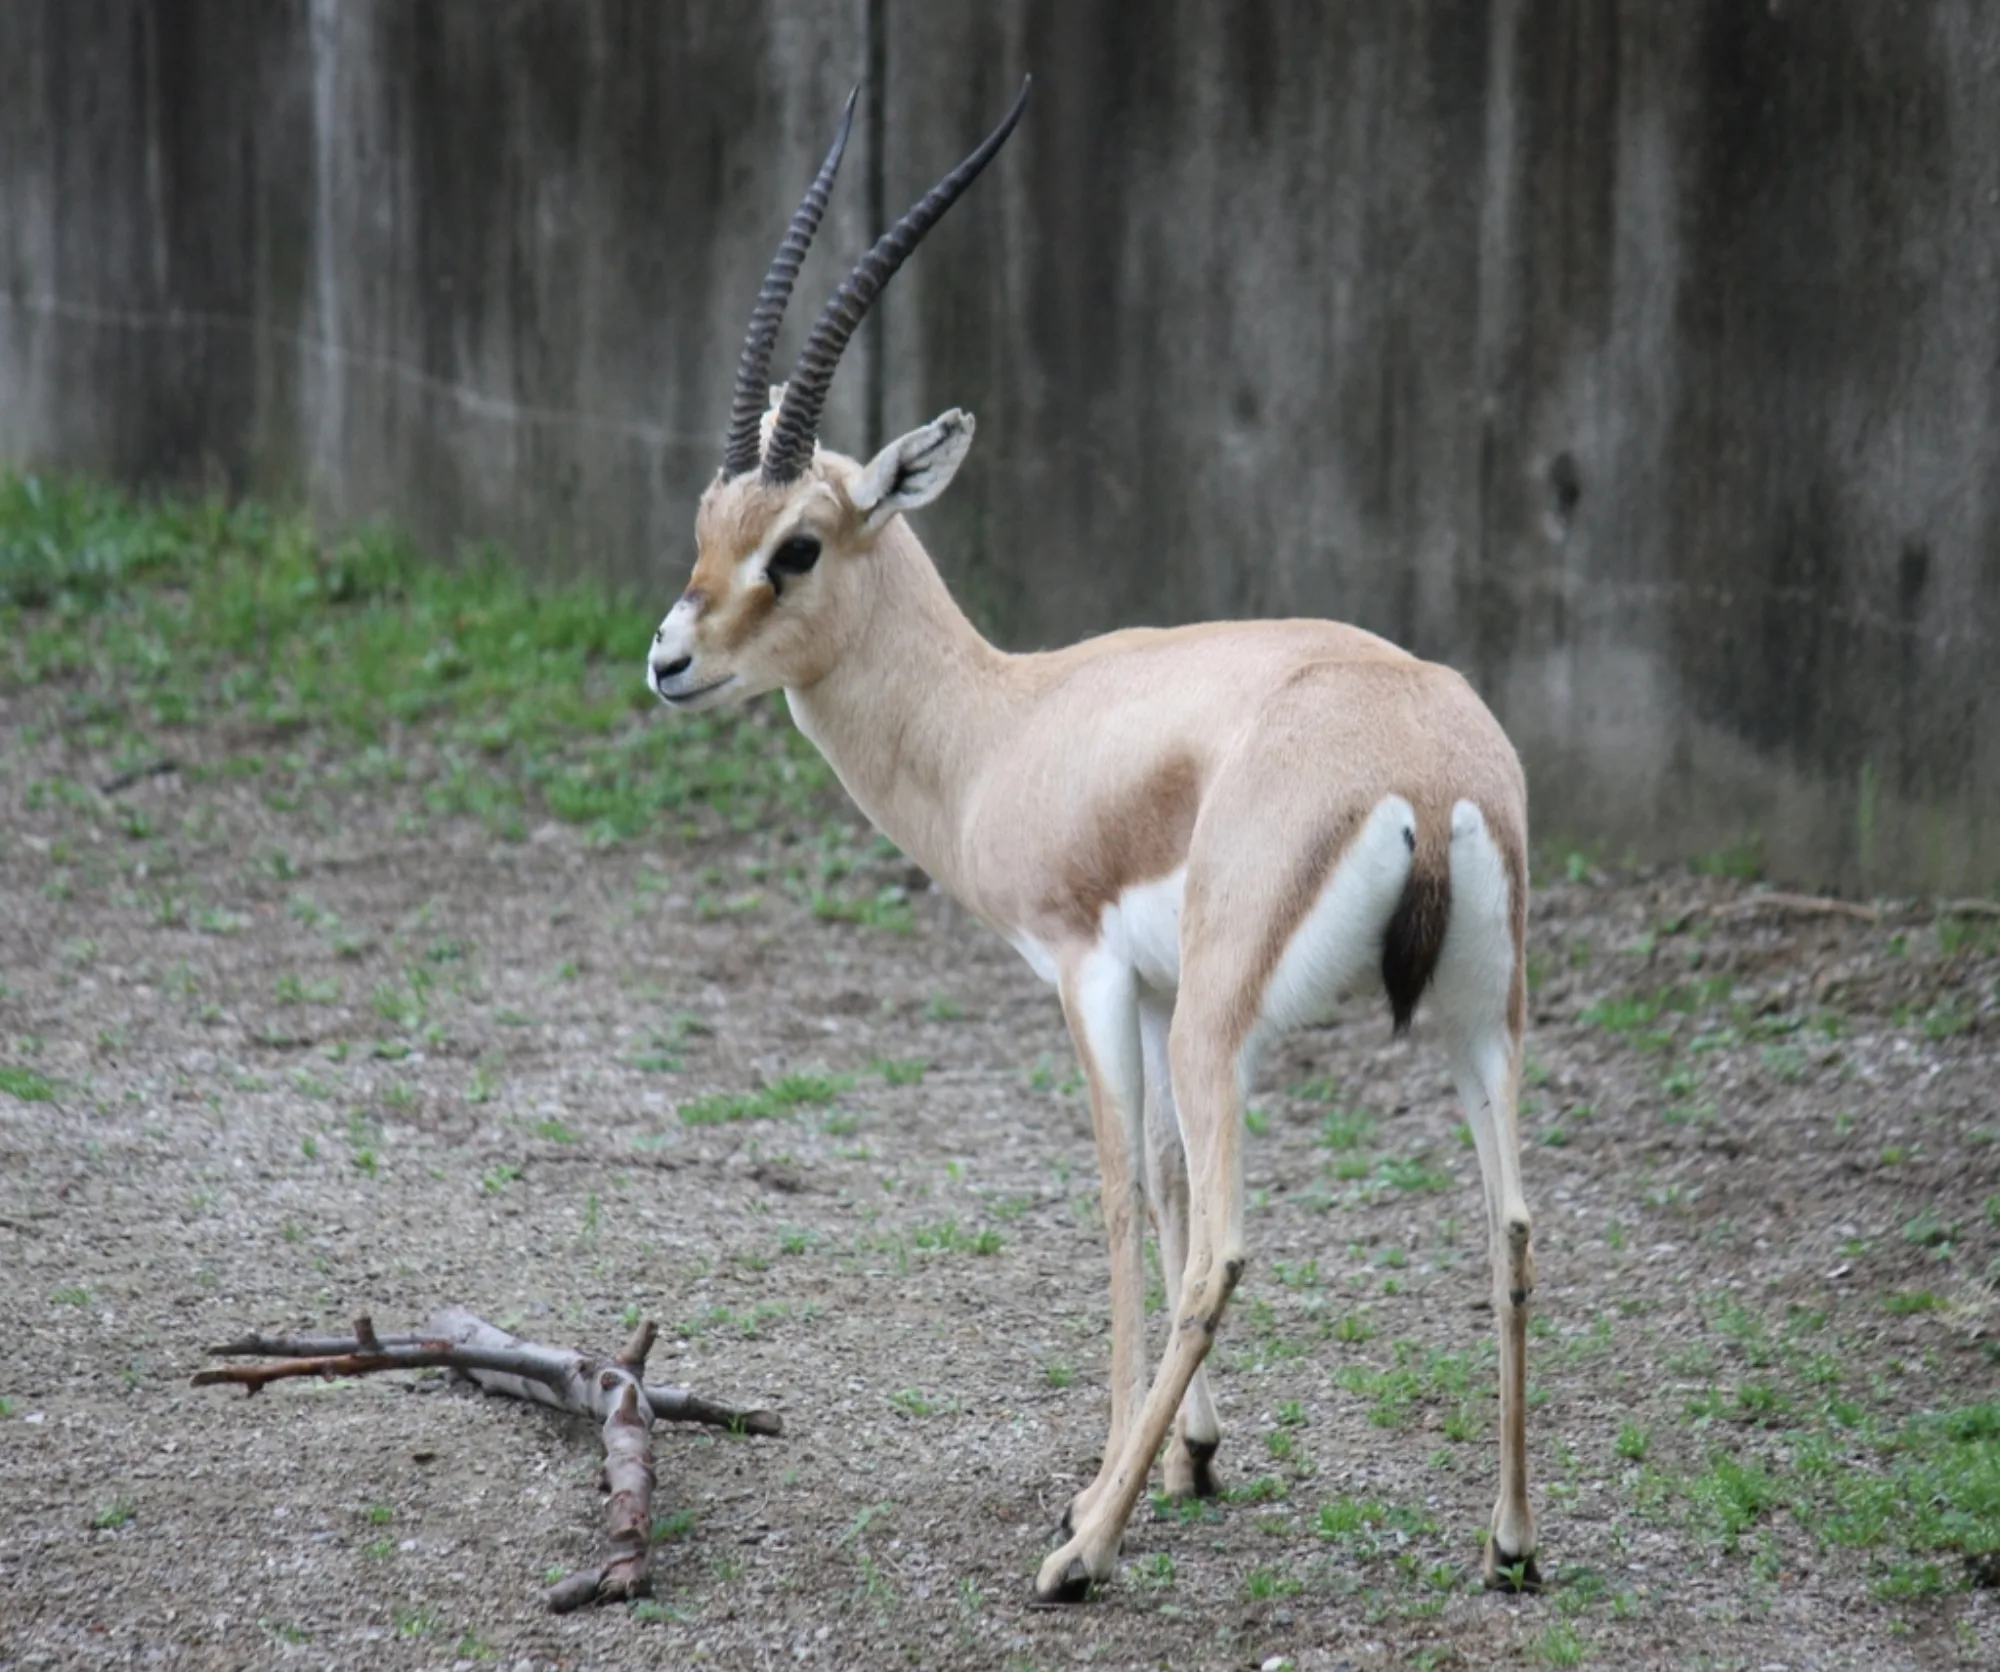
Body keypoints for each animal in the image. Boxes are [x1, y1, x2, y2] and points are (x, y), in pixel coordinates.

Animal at [647, 81, 1539, 1604]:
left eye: (799, 547)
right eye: (711, 524)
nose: (669, 661)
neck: (1007, 722)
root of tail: (1427, 758)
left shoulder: (1090, 972)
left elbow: (1124, 1196)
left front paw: (1107, 1486)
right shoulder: (1165, 984)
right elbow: (1164, 1179)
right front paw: (1194, 1456)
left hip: (1236, 1024)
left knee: (1226, 1249)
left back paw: (1081, 1558)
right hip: (1477, 1016)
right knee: (1513, 1225)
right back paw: (1512, 1544)